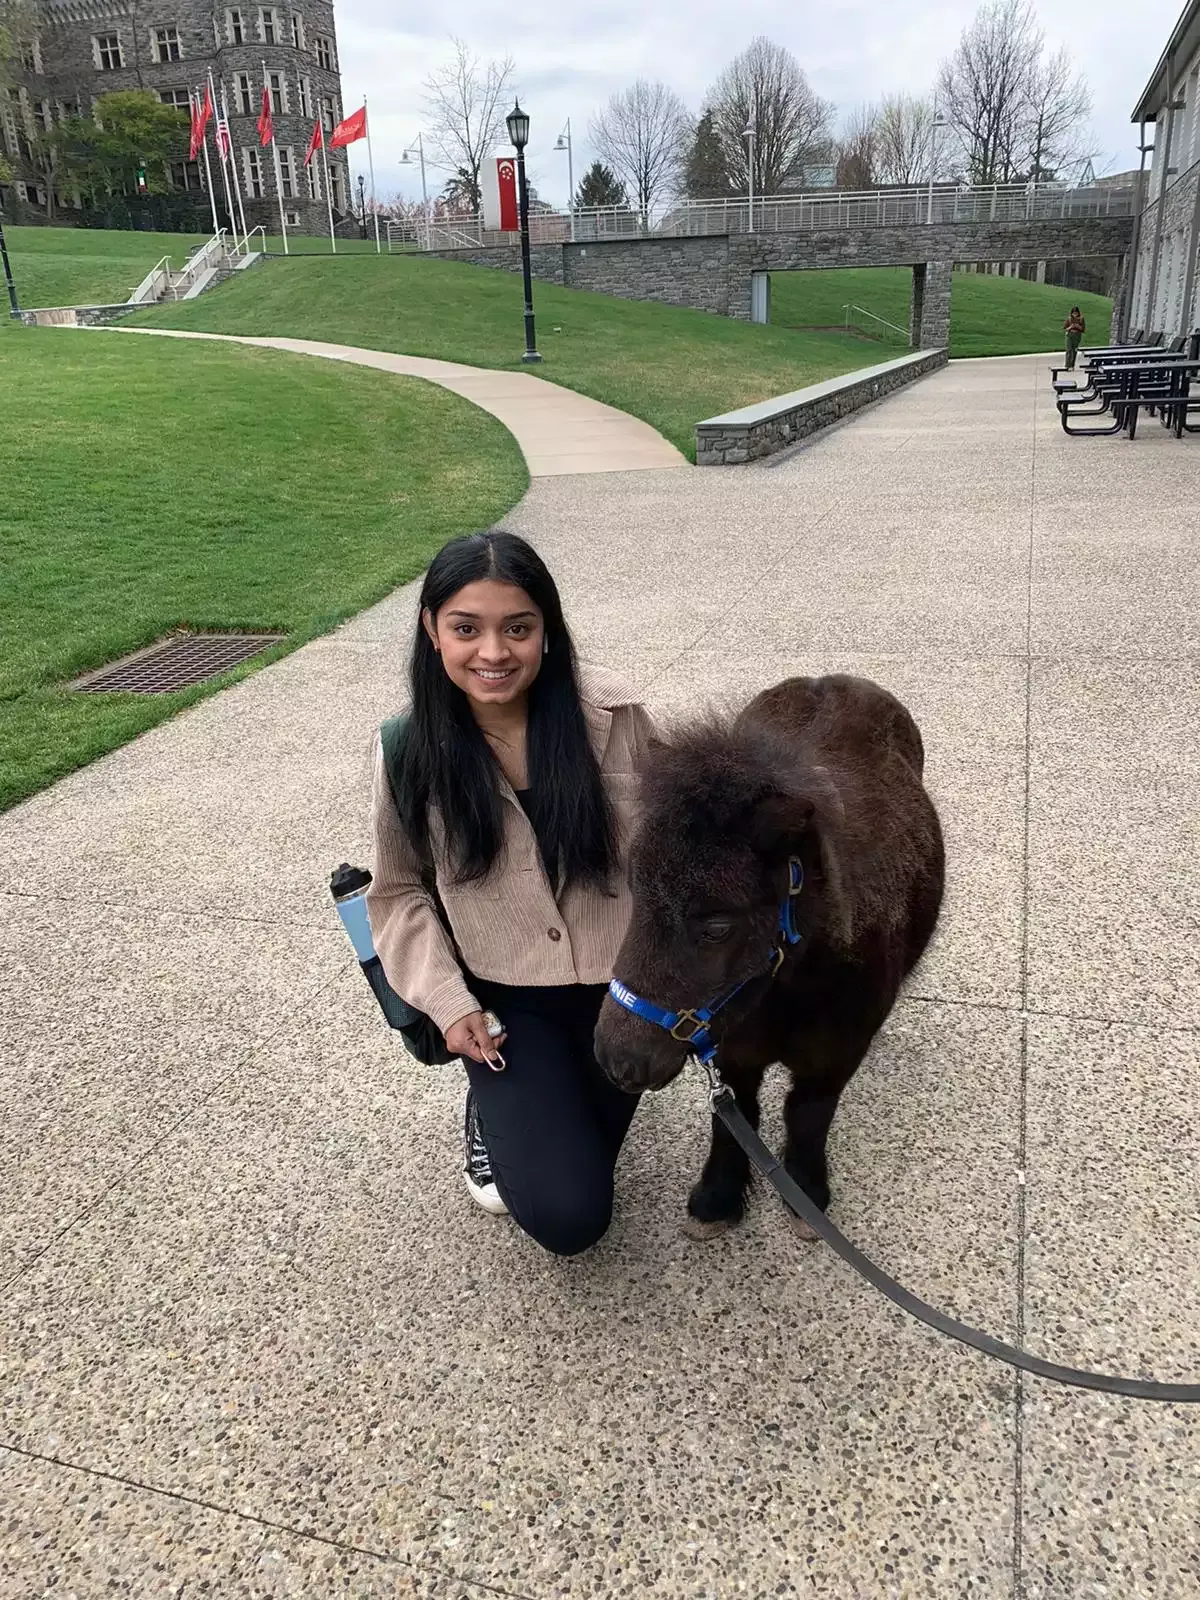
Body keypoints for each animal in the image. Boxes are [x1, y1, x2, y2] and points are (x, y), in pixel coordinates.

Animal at [594, 674, 945, 1239]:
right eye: (634, 894)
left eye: (717, 927)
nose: (616, 1061)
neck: (788, 993)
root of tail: (830, 678)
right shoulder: (731, 1049)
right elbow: (735, 1117)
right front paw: (716, 1198)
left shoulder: (833, 1058)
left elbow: (808, 1114)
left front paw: (805, 1193)